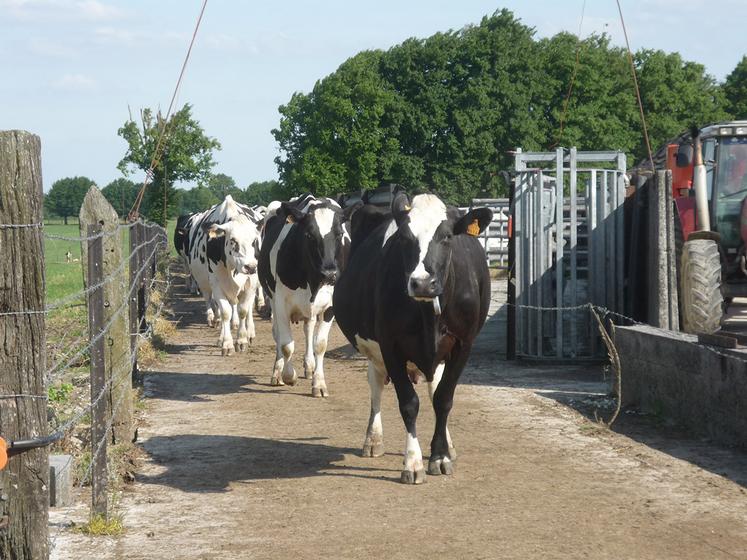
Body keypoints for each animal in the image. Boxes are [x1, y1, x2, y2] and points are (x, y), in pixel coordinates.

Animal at [180, 195, 263, 355]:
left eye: (254, 241)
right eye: (233, 241)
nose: (250, 267)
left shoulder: (250, 283)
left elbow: (243, 310)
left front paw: (242, 340)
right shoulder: (216, 283)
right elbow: (225, 312)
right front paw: (227, 343)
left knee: (247, 308)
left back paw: (249, 332)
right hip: (204, 283)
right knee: (211, 301)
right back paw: (215, 324)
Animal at [258, 194, 360, 397]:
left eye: (339, 234)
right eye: (309, 235)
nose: (330, 273)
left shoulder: (330, 305)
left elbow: (320, 344)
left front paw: (319, 383)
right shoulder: (281, 303)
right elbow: (286, 345)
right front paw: (288, 375)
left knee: (309, 329)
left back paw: (310, 366)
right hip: (272, 299)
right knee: (278, 334)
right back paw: (277, 372)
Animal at [333, 192, 493, 484]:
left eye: (447, 236)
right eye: (404, 238)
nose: (422, 283)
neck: (428, 315)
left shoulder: (463, 344)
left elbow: (443, 399)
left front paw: (440, 456)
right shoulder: (390, 345)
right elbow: (409, 404)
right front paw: (413, 462)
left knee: (434, 389)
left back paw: (448, 445)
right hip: (374, 350)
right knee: (376, 386)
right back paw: (373, 440)